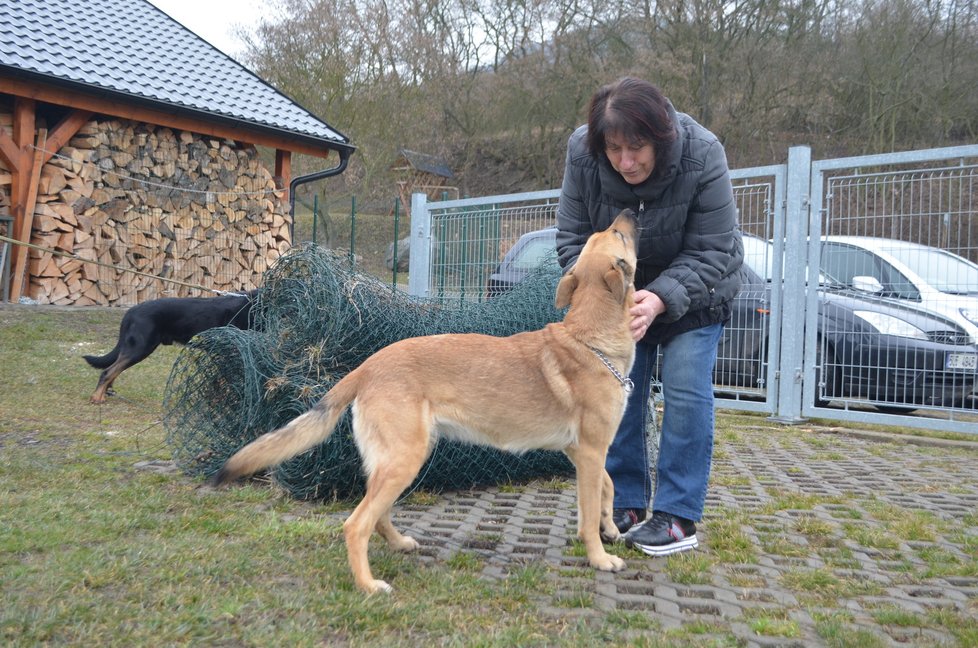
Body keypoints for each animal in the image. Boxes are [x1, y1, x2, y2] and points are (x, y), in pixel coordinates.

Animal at [213, 210, 636, 596]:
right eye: (618, 235)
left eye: (606, 233)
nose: (630, 211)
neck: (591, 340)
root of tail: (368, 367)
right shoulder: (590, 450)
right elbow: (591, 509)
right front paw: (599, 557)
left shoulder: (581, 453)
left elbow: (607, 487)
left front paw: (609, 526)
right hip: (405, 460)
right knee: (357, 524)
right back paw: (368, 585)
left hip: (400, 460)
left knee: (377, 515)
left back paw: (399, 544)